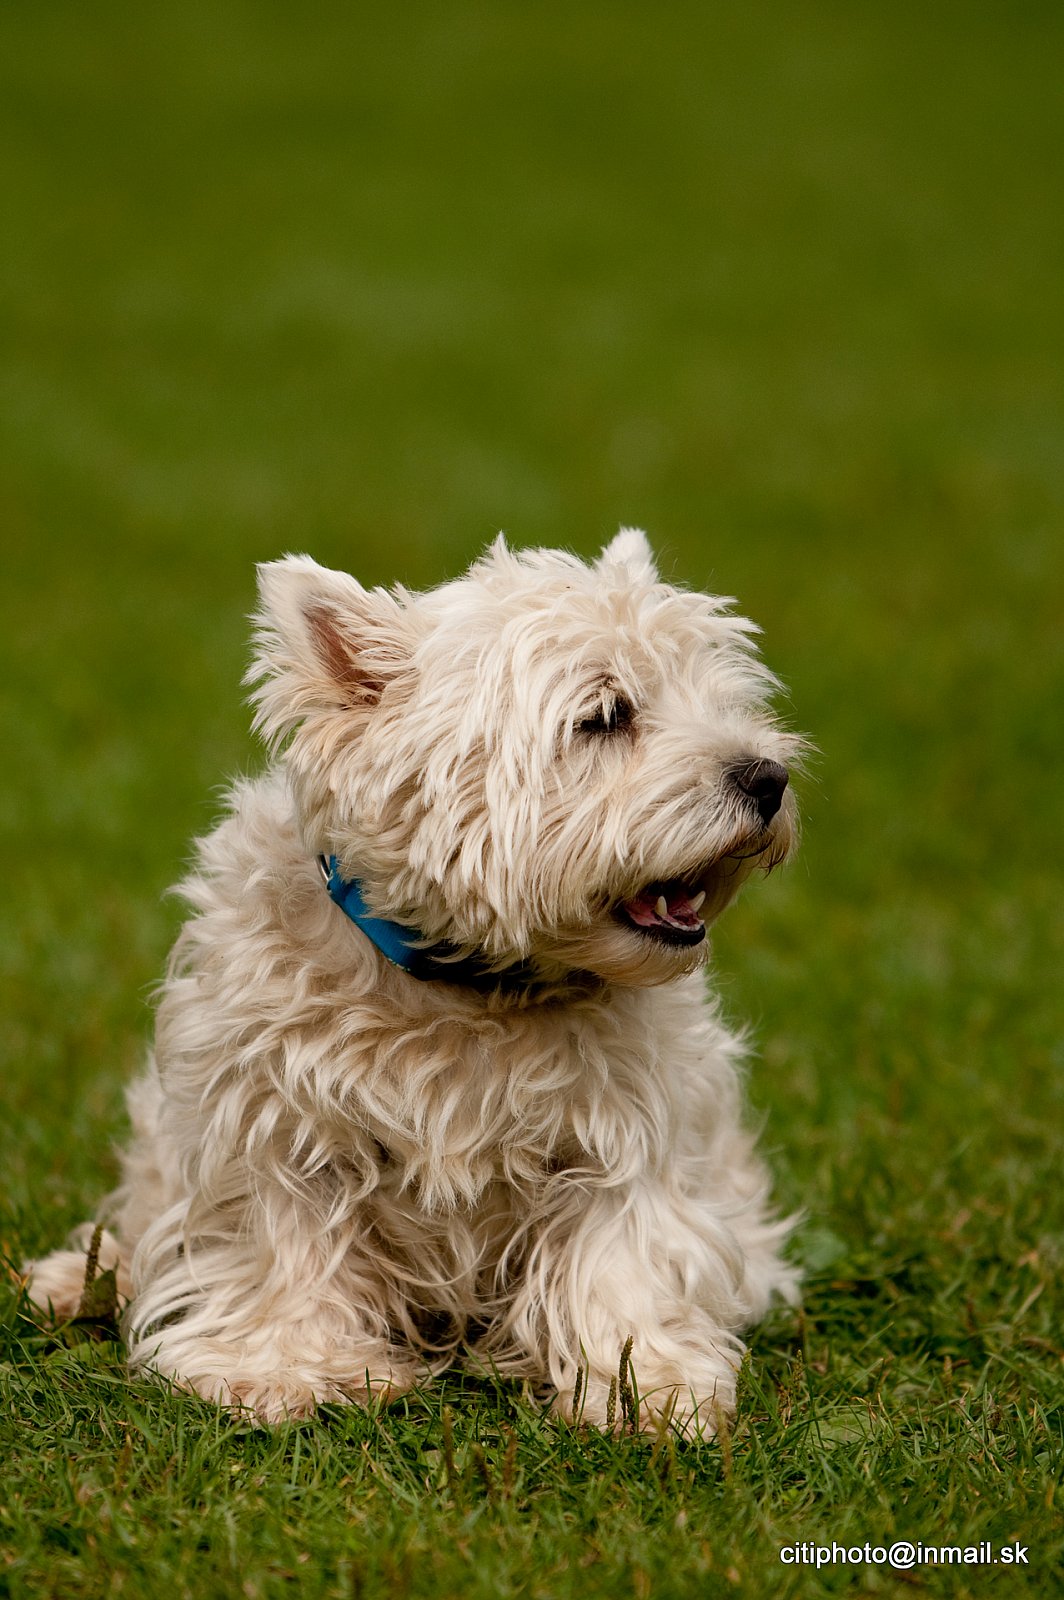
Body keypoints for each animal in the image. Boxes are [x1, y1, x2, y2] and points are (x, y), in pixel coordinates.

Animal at [26, 529, 803, 1429]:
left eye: (721, 699)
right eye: (605, 716)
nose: (768, 777)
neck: (465, 988)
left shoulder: (624, 1135)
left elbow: (620, 1254)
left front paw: (647, 1384)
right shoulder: (275, 1124)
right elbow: (279, 1244)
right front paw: (277, 1370)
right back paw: (74, 1280)